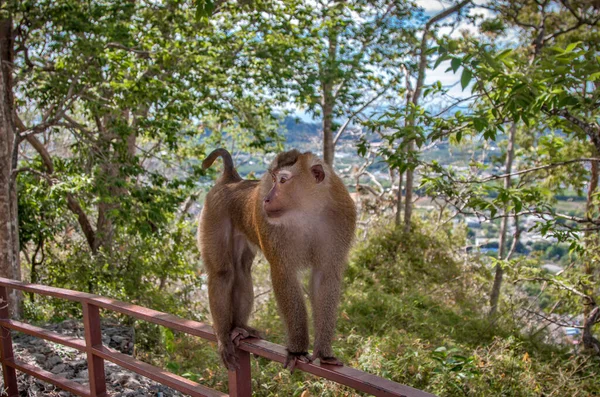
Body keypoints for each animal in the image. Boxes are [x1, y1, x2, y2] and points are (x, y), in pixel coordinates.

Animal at [197, 148, 356, 372]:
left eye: (283, 180)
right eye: (273, 179)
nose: (266, 199)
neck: (308, 210)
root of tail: (231, 180)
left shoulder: (342, 218)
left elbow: (325, 278)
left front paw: (324, 352)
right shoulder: (271, 229)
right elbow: (284, 273)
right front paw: (297, 350)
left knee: (241, 269)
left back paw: (239, 327)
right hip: (213, 213)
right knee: (223, 273)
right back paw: (223, 335)